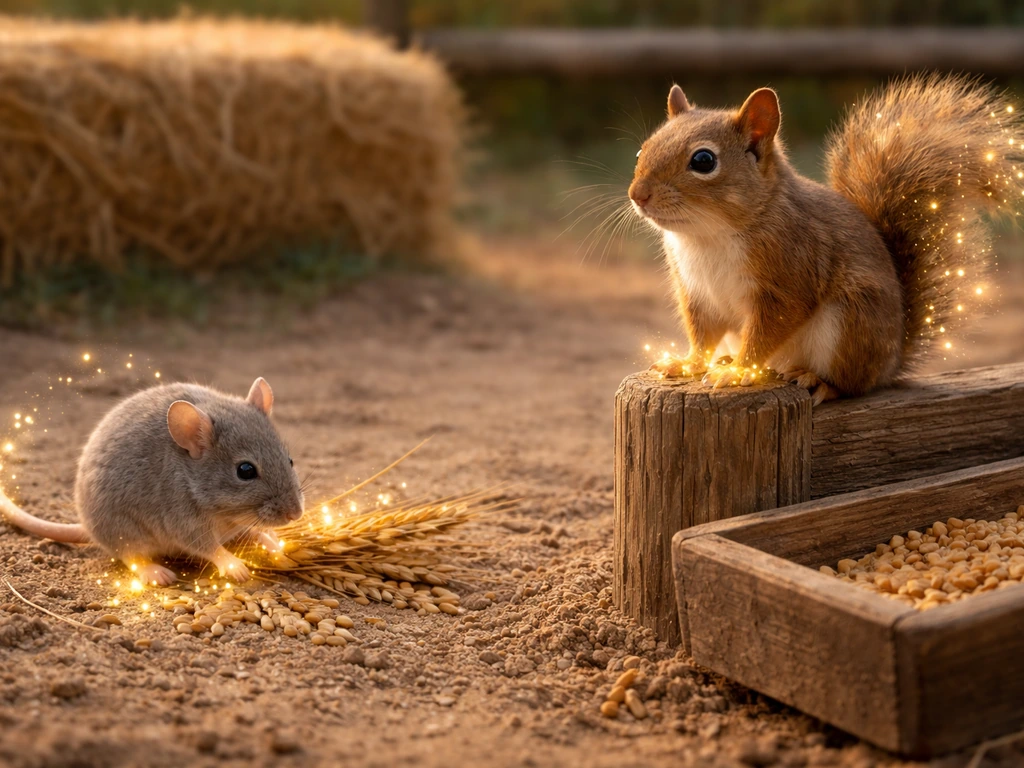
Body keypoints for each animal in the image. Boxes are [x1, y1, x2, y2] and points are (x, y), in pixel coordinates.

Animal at [628, 74, 1020, 404]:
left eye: (704, 160)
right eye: (642, 150)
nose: (637, 194)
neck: (707, 235)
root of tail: (891, 363)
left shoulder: (790, 274)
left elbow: (766, 331)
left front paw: (740, 371)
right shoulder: (696, 292)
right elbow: (701, 335)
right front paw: (688, 364)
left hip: (848, 325)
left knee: (850, 384)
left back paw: (816, 381)